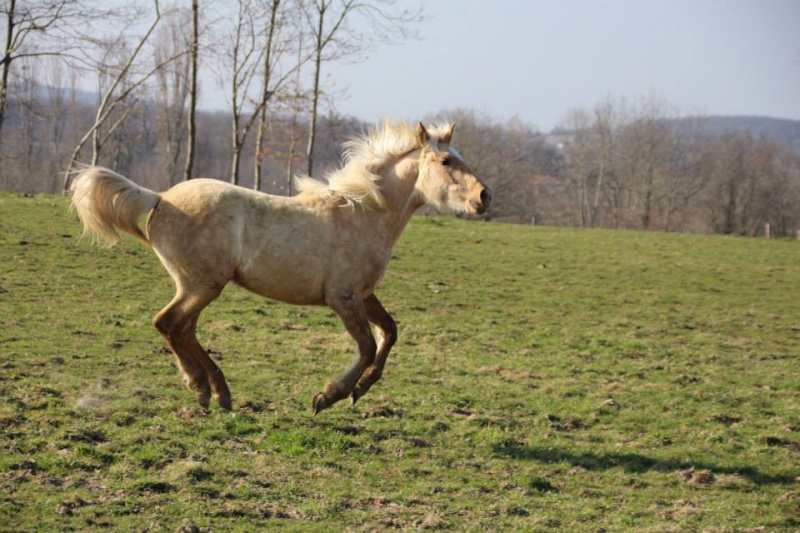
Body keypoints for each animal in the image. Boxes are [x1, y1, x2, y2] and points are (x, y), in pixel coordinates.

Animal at [72, 121, 490, 416]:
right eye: (446, 161)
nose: (484, 196)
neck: (365, 213)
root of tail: (159, 198)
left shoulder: (363, 294)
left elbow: (389, 332)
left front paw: (359, 391)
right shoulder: (343, 298)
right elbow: (368, 346)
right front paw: (329, 396)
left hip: (198, 287)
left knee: (182, 328)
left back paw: (218, 393)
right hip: (201, 285)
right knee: (169, 323)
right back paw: (204, 389)